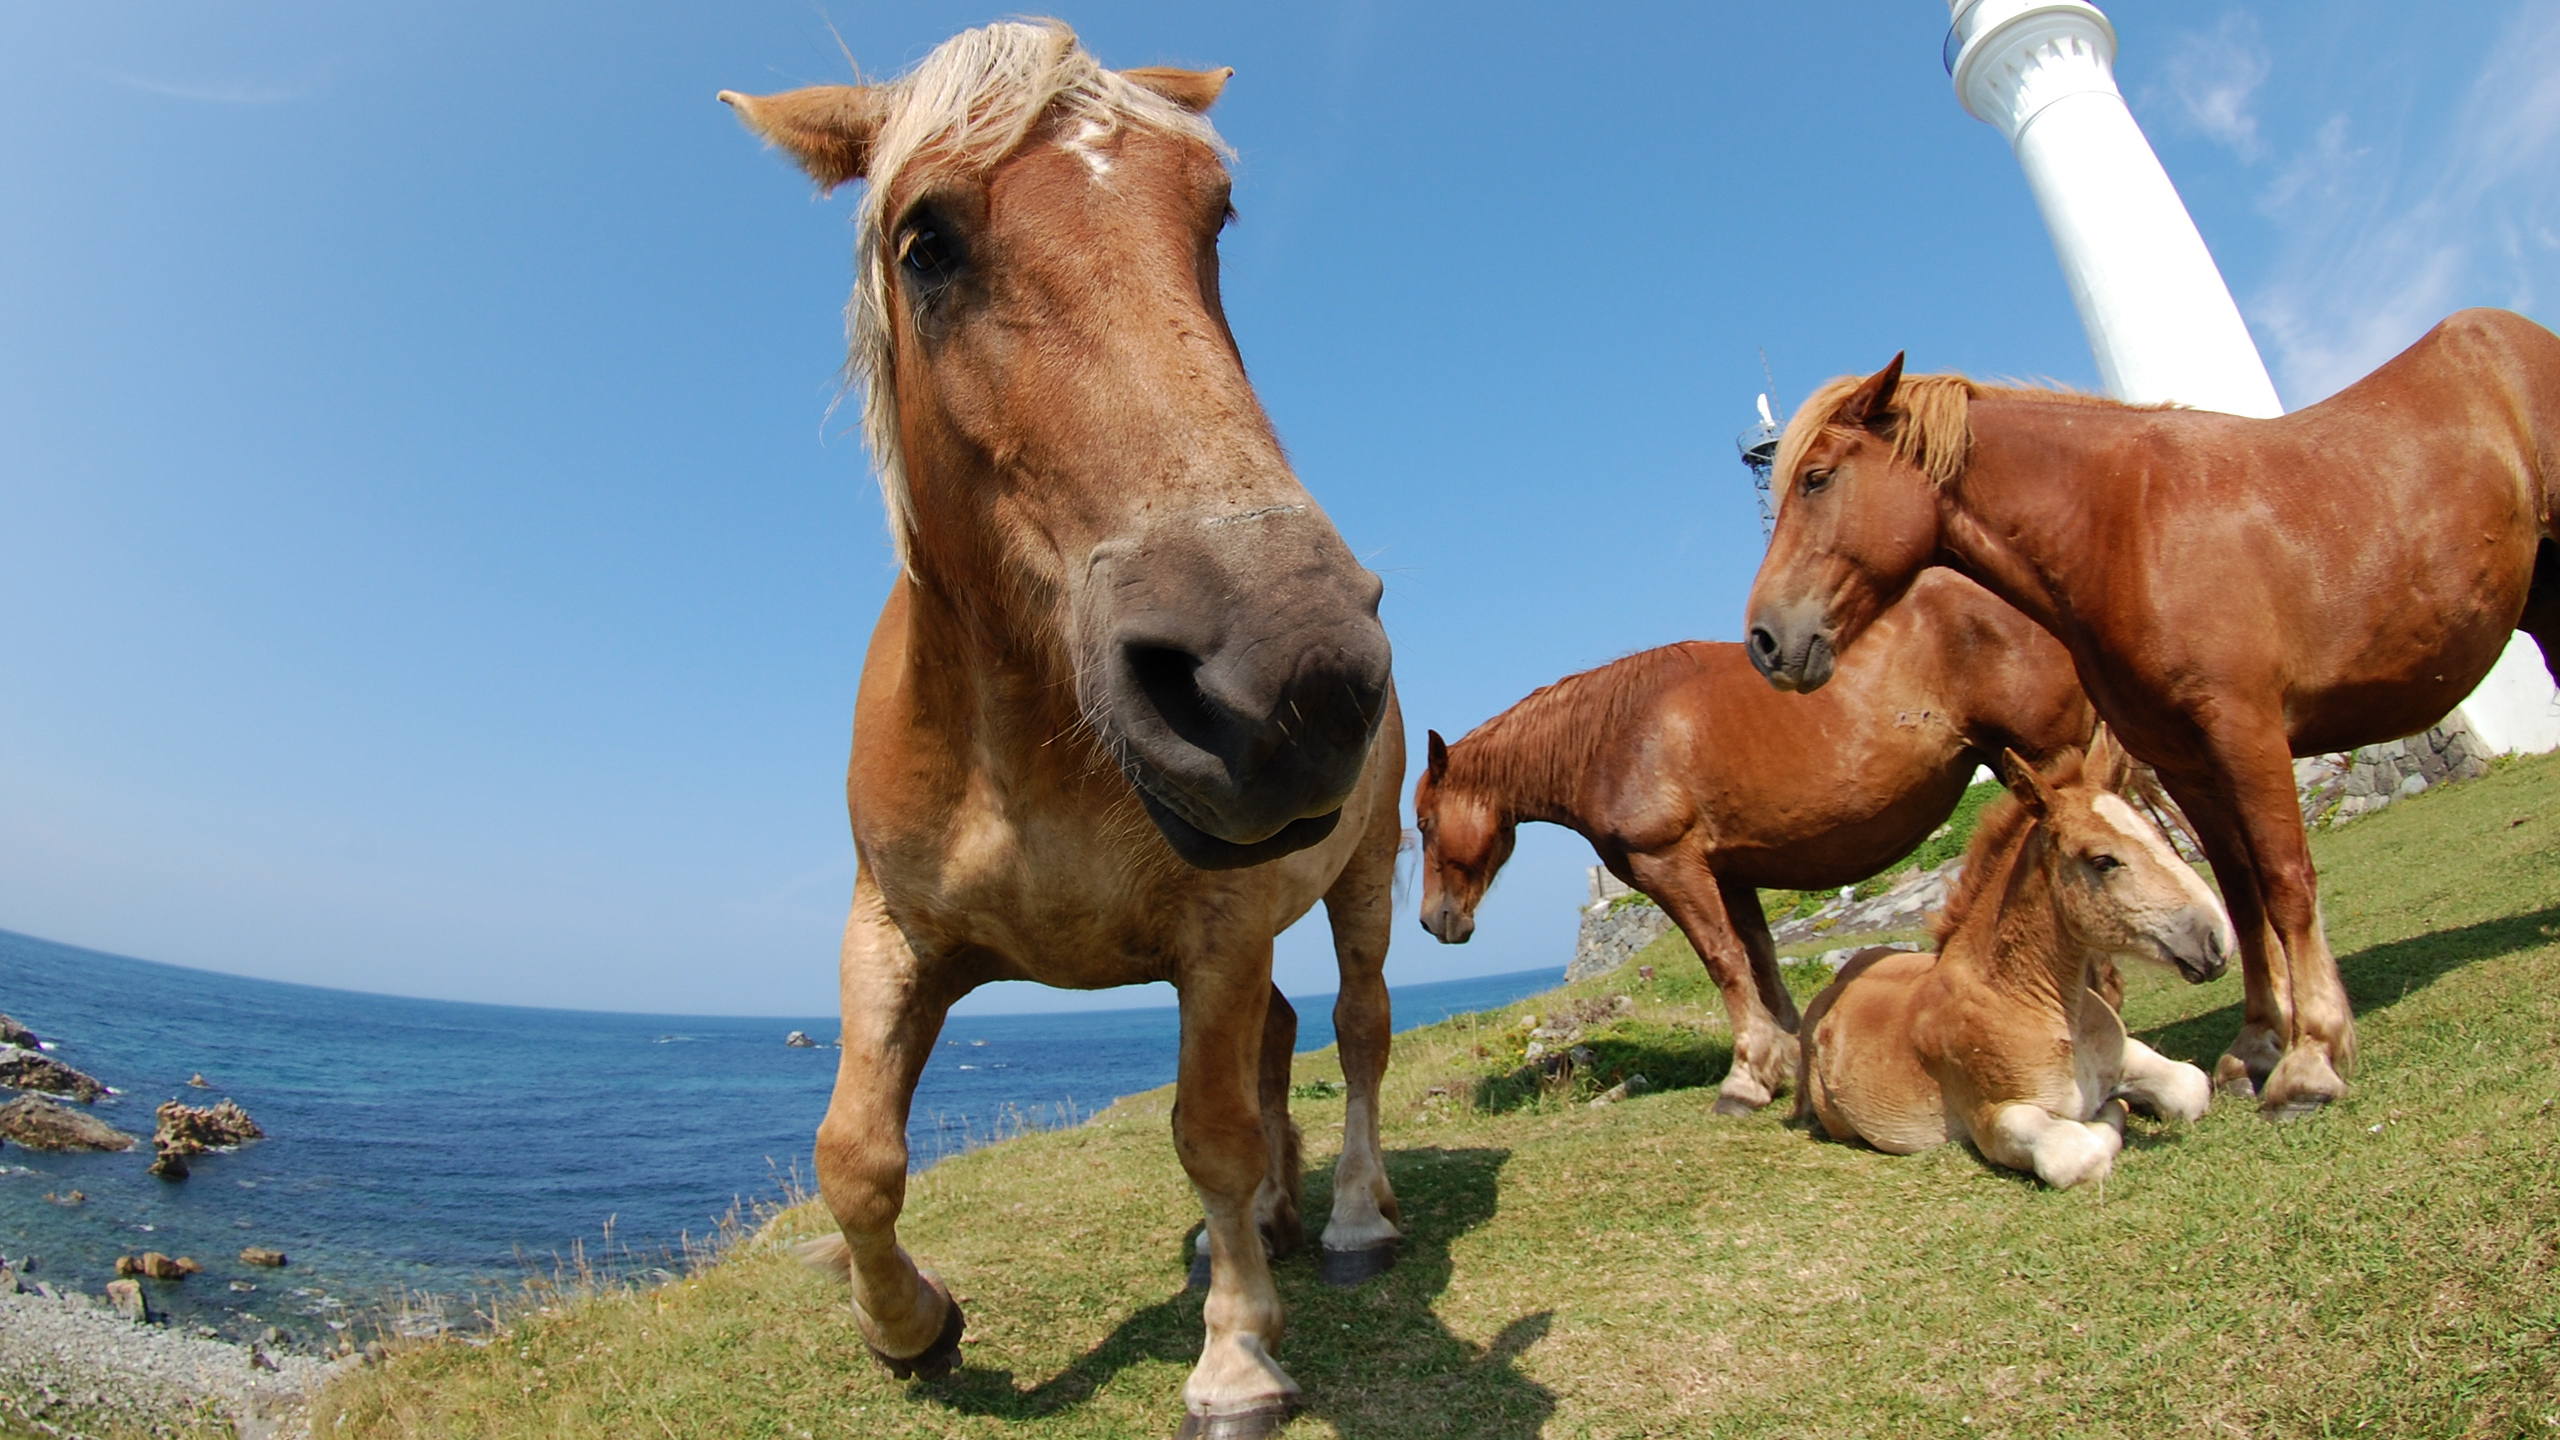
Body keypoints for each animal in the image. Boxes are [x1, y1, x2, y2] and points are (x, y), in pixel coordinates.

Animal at [721, 24, 1403, 1437]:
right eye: (923, 241)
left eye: (1213, 213)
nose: (1297, 676)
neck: (1018, 750)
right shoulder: (896, 935)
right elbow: (853, 1154)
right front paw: (910, 1327)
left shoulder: (1216, 931)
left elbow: (1206, 1130)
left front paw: (1236, 1357)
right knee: (1284, 1043)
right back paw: (1267, 1222)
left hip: (1362, 878)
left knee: (1359, 1032)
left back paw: (1351, 1223)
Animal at [1413, 568, 2092, 1114]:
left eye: (1421, 823)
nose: (1433, 921)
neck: (1613, 739)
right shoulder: (1732, 873)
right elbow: (1761, 962)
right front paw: (1786, 1063)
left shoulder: (1672, 869)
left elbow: (1723, 963)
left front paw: (1745, 1079)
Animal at [1744, 309, 2560, 1117]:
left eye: (1817, 478)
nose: (1764, 641)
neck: (2125, 528)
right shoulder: (2186, 758)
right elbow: (2240, 891)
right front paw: (2256, 1044)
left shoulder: (2246, 735)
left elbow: (2286, 880)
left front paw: (2312, 1057)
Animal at [1795, 733, 2230, 1188]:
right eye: (2103, 861)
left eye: (2153, 830)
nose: (2216, 940)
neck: (2031, 1003)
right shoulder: (1995, 1121)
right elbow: (2082, 1149)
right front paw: (2114, 1108)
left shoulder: (2128, 1051)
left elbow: (2191, 1087)